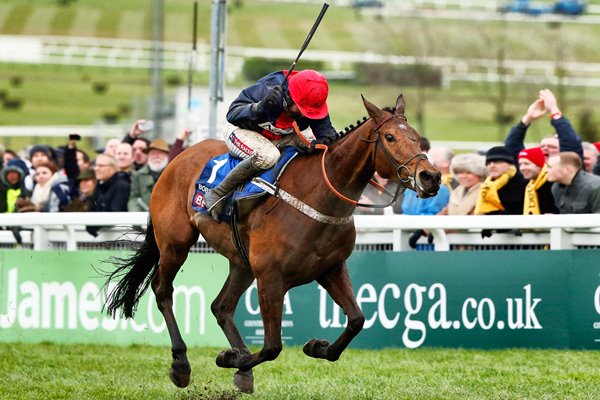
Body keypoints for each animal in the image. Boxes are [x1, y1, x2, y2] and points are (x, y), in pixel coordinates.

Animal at [103, 94, 440, 394]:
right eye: (390, 137)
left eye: (417, 137)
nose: (431, 176)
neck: (317, 195)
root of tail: (178, 159)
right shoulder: (271, 277)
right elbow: (272, 347)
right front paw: (229, 358)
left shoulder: (330, 267)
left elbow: (357, 320)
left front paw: (316, 347)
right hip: (176, 242)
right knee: (163, 290)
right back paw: (182, 364)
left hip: (241, 261)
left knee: (221, 306)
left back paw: (240, 369)